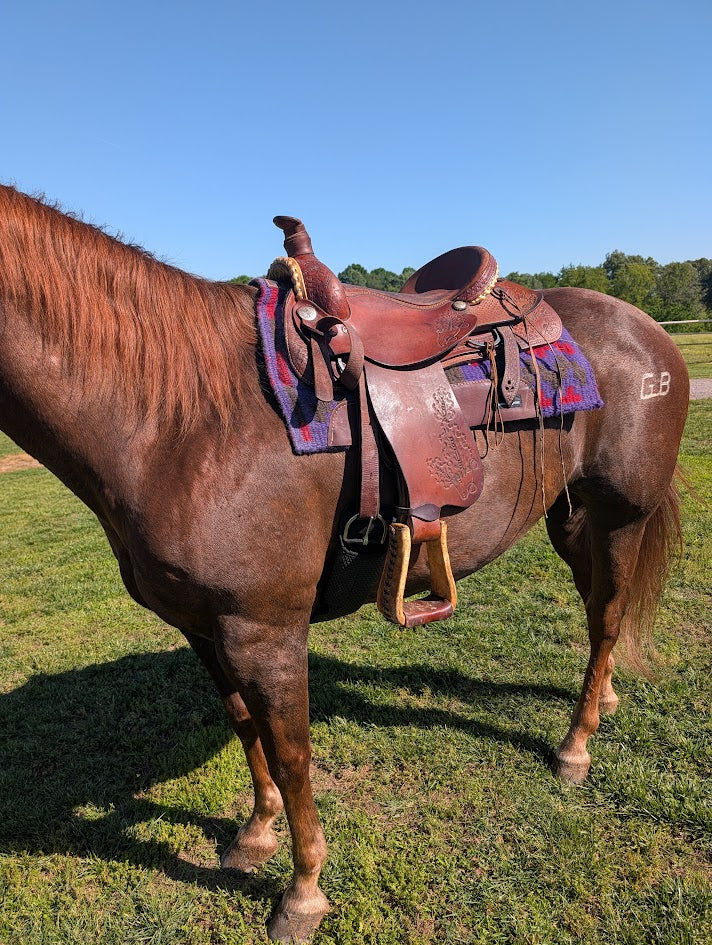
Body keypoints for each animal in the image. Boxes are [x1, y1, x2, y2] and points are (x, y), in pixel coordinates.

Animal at [0, 184, 688, 942]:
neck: (180, 421)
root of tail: (643, 326)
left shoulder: (265, 631)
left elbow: (293, 753)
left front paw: (302, 891)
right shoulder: (204, 628)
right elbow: (245, 726)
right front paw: (255, 833)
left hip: (623, 512)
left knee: (608, 615)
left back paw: (576, 745)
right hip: (570, 515)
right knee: (599, 609)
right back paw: (605, 699)